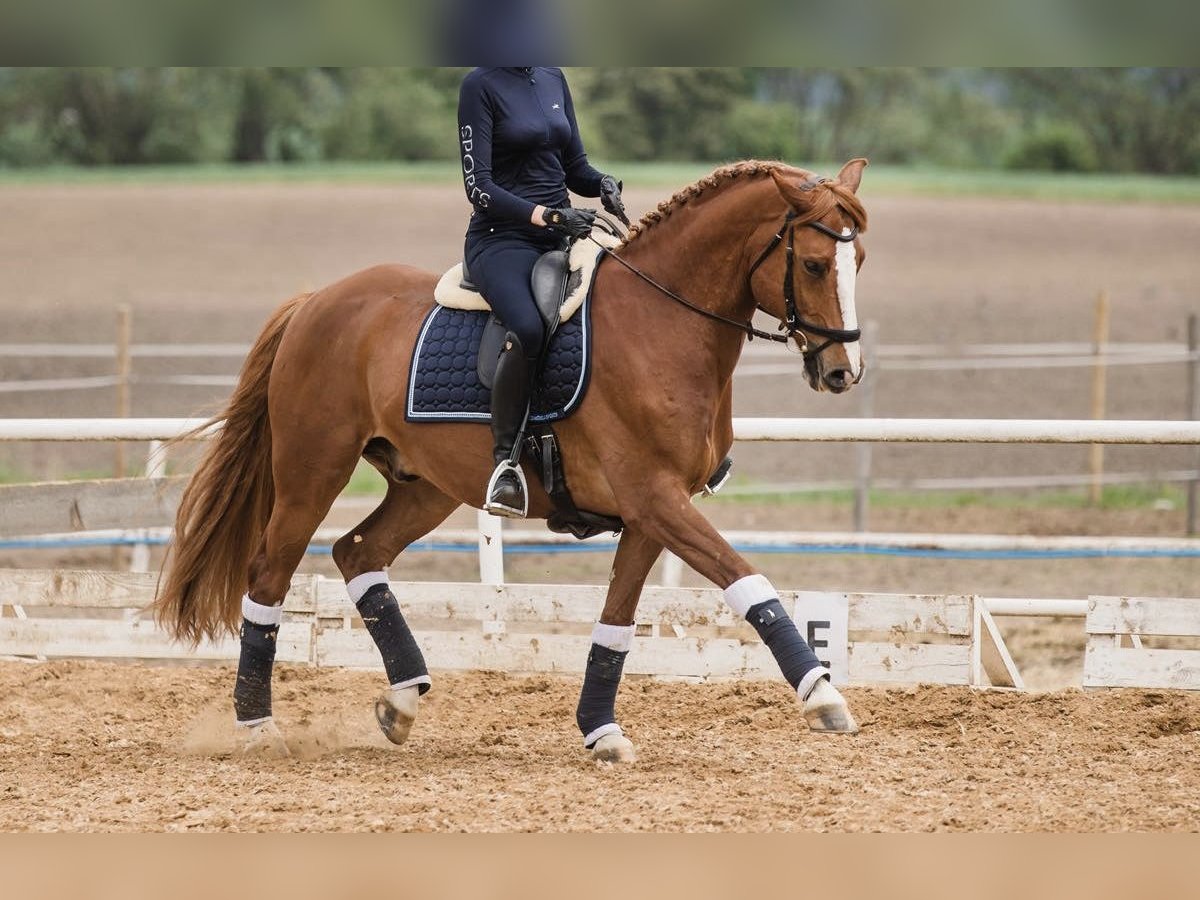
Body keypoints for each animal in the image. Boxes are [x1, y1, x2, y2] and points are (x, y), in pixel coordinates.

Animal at [154, 158, 873, 763]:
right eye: (814, 265)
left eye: (858, 259)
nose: (844, 371)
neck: (661, 324)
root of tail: (317, 302)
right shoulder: (654, 498)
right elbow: (748, 581)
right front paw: (823, 695)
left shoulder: (650, 514)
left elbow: (617, 621)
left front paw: (601, 731)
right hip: (313, 474)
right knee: (269, 575)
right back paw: (258, 725)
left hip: (428, 487)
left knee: (358, 552)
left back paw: (402, 700)